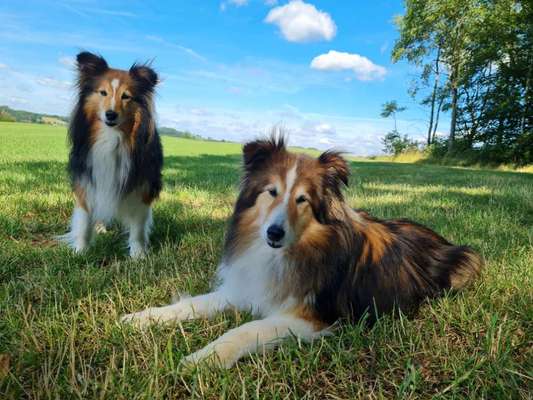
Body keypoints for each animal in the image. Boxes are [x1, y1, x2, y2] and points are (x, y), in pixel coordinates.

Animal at [58, 51, 162, 258]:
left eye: (126, 96)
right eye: (103, 93)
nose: (110, 114)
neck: (112, 137)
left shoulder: (143, 188)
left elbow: (138, 227)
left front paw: (138, 255)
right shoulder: (89, 181)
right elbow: (84, 222)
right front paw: (80, 252)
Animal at [121, 136, 482, 368]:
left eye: (302, 199)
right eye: (271, 191)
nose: (274, 233)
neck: (287, 253)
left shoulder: (311, 317)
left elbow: (244, 329)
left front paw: (203, 358)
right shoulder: (248, 287)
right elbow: (192, 304)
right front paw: (141, 319)